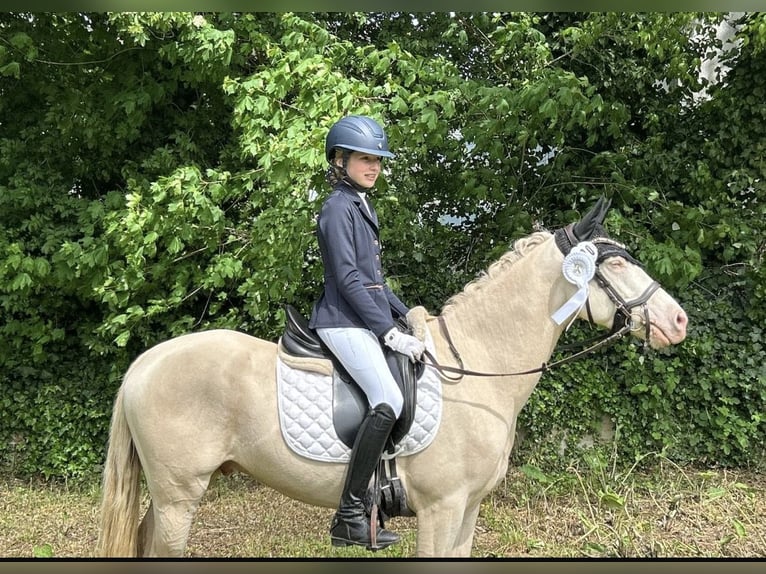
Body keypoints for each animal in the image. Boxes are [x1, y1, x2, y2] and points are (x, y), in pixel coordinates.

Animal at [96, 197, 688, 557]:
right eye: (613, 264)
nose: (678, 321)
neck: (479, 369)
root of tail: (145, 363)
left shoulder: (467, 508)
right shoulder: (441, 508)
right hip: (179, 497)